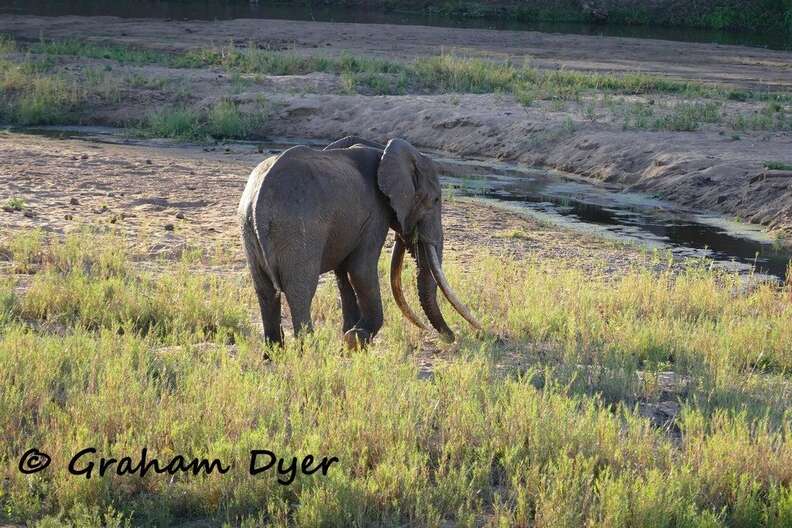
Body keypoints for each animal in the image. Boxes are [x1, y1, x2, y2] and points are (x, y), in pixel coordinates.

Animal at [239, 136, 481, 348]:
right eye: (436, 199)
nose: (450, 337)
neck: (383, 151)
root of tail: (258, 202)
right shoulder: (375, 213)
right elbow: (360, 270)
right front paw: (356, 338)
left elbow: (342, 273)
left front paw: (349, 336)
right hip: (296, 230)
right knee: (300, 290)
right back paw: (309, 354)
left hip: (249, 229)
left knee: (265, 291)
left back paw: (274, 355)